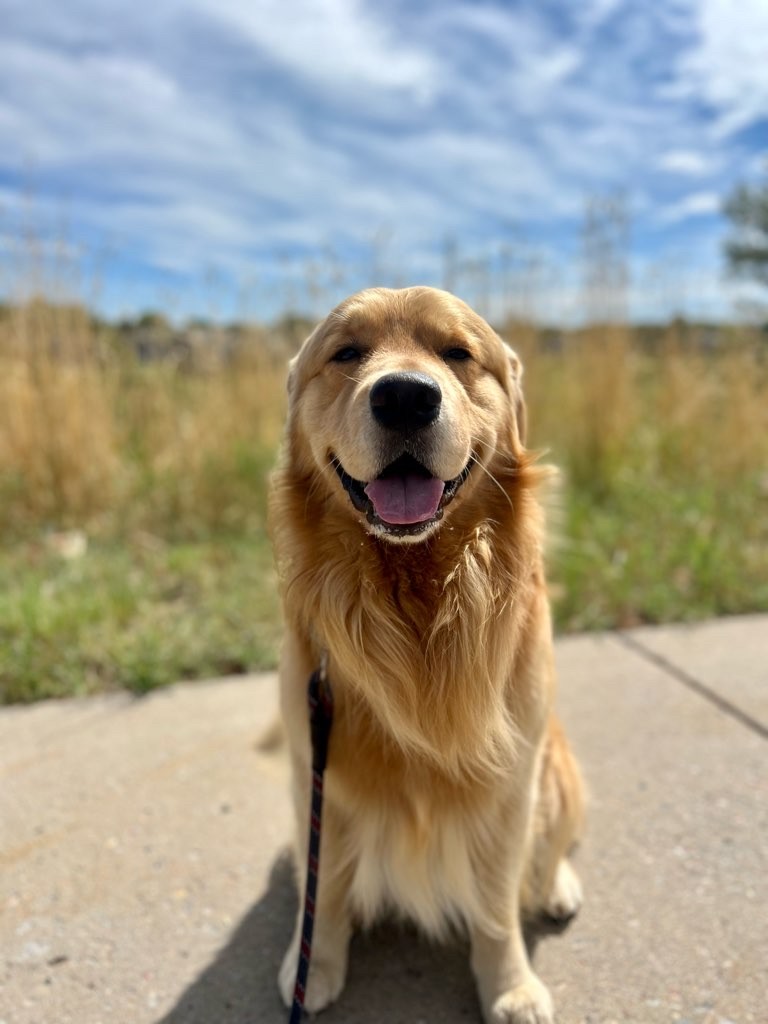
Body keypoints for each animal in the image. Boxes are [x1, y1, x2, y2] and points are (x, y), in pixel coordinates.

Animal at [268, 286, 581, 1024]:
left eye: (458, 352)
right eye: (346, 353)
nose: (406, 397)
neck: (415, 595)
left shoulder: (510, 788)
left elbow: (496, 903)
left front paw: (510, 986)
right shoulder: (317, 773)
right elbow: (323, 892)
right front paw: (313, 966)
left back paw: (557, 886)